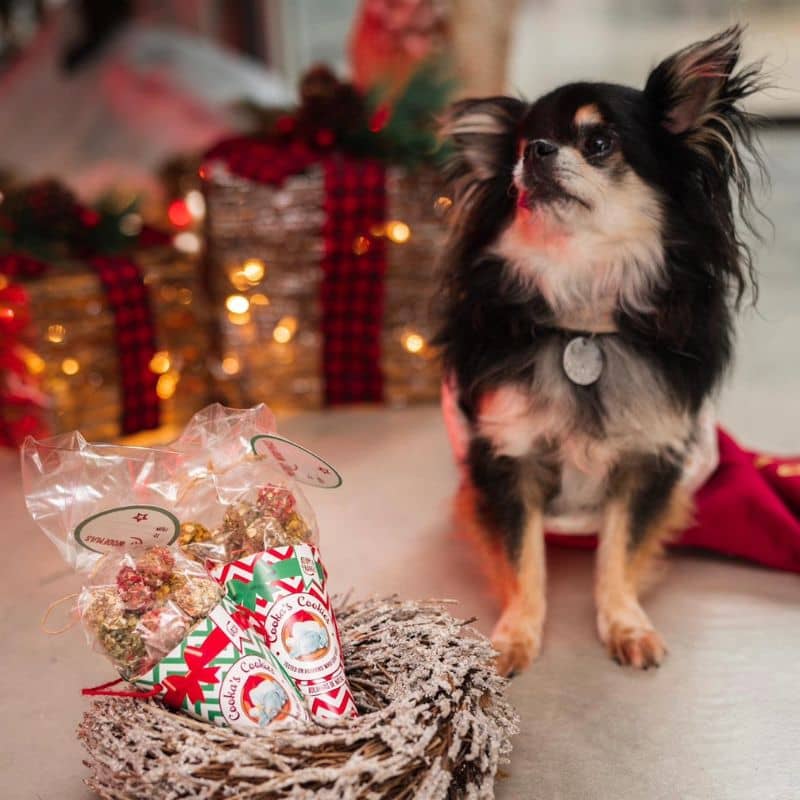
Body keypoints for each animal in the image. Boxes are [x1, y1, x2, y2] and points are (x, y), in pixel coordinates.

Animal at [434, 26, 764, 676]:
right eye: (519, 147)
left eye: (599, 143)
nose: (535, 151)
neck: (583, 317)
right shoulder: (507, 457)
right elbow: (524, 559)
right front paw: (514, 636)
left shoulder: (648, 462)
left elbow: (618, 551)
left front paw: (624, 623)